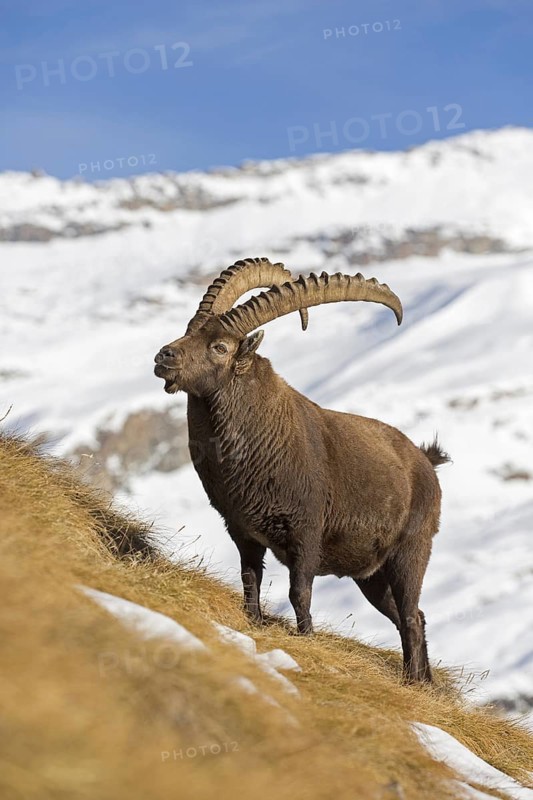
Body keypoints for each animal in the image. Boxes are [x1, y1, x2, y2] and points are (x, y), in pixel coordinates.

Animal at [154, 257, 450, 682]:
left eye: (220, 346)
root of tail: (426, 463)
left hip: (410, 553)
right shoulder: (242, 530)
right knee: (413, 616)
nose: (164, 357)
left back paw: (412, 680)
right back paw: (424, 684)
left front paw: (307, 641)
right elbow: (250, 580)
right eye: (189, 329)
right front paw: (253, 623)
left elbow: (300, 593)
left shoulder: (306, 533)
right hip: (371, 577)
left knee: (410, 616)